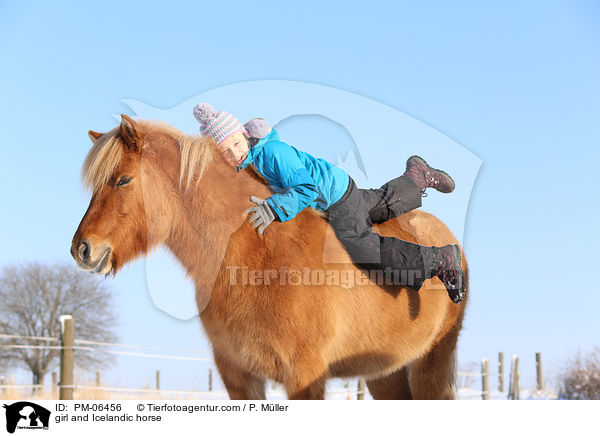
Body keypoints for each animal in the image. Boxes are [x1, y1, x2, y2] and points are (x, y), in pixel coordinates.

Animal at [70, 115, 468, 398]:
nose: (82, 249)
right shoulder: (237, 376)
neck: (254, 254)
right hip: (385, 373)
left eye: (123, 180)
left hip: (432, 364)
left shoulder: (305, 375)